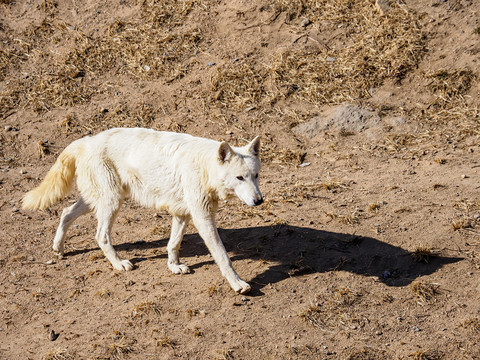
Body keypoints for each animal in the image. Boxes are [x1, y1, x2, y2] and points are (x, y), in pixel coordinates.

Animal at [22, 128, 262, 294]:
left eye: (255, 176)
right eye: (239, 178)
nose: (259, 201)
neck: (204, 166)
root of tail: (86, 141)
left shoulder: (182, 213)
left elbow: (173, 243)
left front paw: (173, 266)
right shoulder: (202, 217)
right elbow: (223, 256)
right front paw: (238, 284)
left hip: (97, 200)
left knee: (65, 212)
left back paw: (58, 248)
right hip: (112, 203)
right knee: (100, 236)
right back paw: (119, 264)